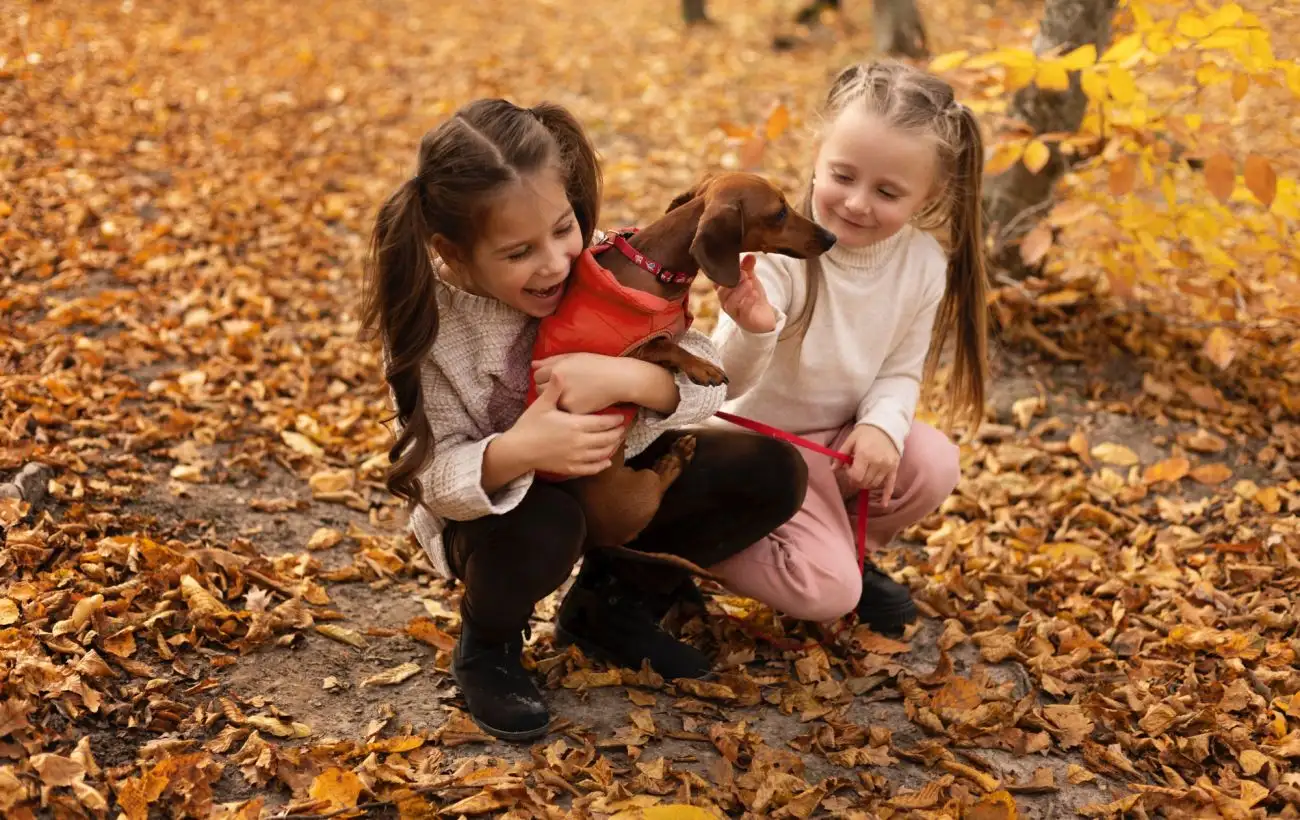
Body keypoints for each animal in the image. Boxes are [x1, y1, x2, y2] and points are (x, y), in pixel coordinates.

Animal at [533, 172, 837, 579]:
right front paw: (703, 367)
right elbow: (668, 346)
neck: (655, 267)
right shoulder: (629, 349)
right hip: (637, 494)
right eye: (778, 212)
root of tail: (593, 544)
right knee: (656, 489)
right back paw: (674, 458)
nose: (830, 237)